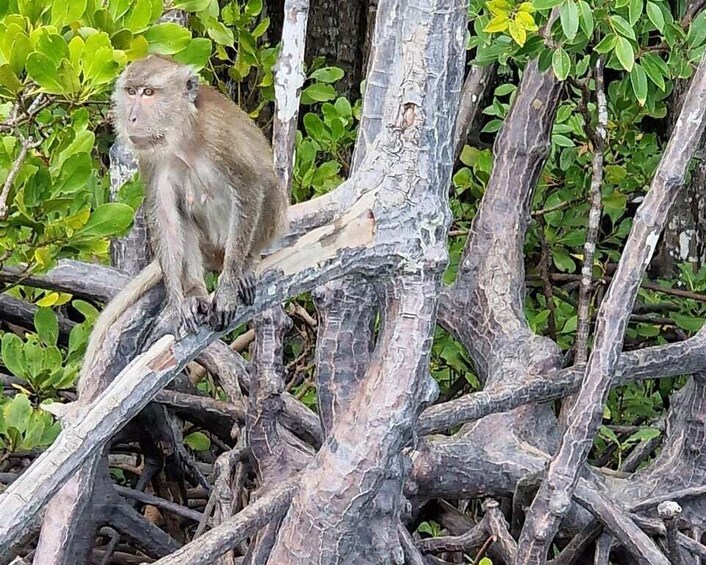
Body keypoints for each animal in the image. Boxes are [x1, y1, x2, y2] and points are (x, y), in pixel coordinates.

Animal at [81, 54, 288, 372]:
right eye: (131, 92)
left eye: (149, 93)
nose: (132, 118)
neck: (183, 136)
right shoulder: (151, 158)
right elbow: (166, 217)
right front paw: (178, 304)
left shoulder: (220, 138)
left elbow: (251, 188)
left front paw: (229, 285)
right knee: (185, 217)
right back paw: (194, 292)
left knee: (269, 184)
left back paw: (247, 263)